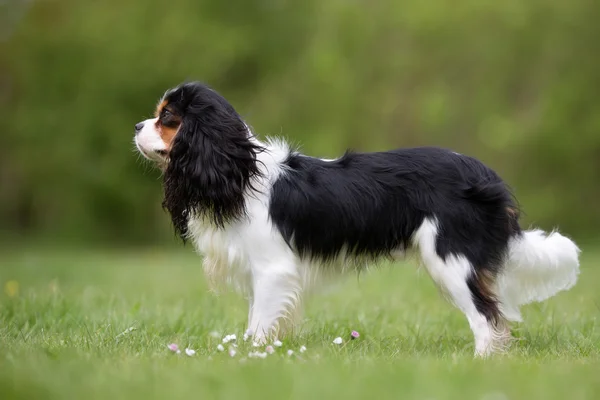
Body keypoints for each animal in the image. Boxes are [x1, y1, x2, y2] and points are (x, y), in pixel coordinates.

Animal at [134, 81, 580, 356]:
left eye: (167, 117)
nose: (137, 124)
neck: (239, 170)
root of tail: (486, 175)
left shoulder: (273, 271)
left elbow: (258, 325)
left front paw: (249, 356)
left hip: (452, 261)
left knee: (487, 317)